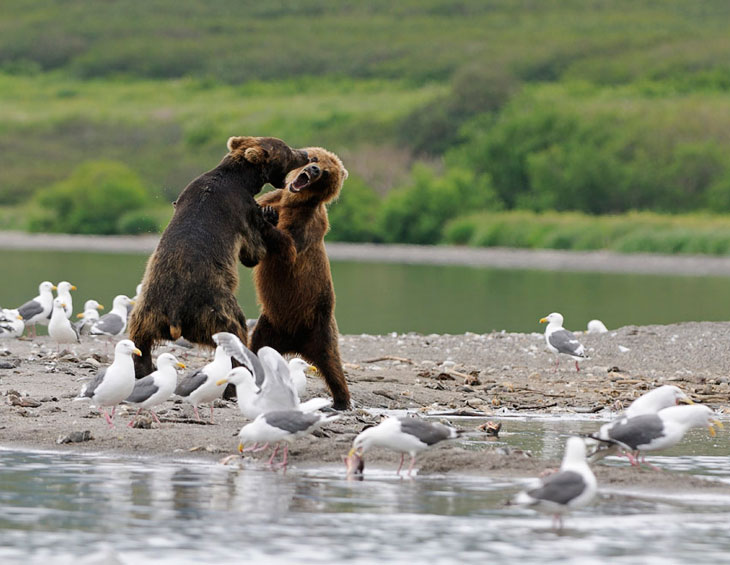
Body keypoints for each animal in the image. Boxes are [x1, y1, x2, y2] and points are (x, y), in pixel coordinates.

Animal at [128, 134, 308, 376]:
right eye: (288, 151)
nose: (306, 154)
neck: (241, 178)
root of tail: (176, 315)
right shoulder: (243, 212)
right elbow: (253, 251)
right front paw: (269, 214)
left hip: (148, 309)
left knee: (140, 338)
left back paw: (145, 367)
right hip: (216, 308)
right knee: (236, 328)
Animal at [252, 145, 352, 410]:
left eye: (326, 172)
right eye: (315, 158)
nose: (314, 169)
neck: (294, 201)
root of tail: (293, 343)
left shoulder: (305, 224)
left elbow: (288, 250)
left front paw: (269, 219)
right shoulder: (275, 197)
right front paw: (267, 212)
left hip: (320, 326)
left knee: (332, 364)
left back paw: (342, 401)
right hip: (269, 324)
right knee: (253, 348)